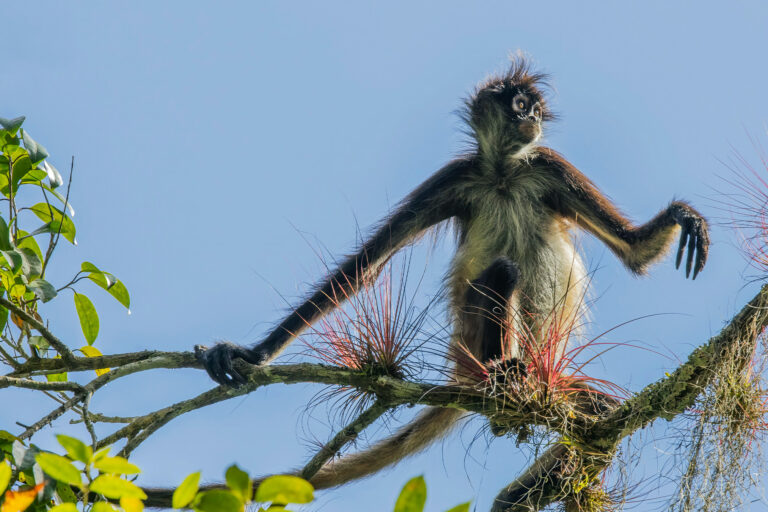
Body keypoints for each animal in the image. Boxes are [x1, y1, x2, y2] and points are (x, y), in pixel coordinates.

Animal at [192, 56, 708, 496]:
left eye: (536, 107)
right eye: (520, 104)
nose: (533, 115)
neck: (504, 174)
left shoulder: (548, 166)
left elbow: (635, 252)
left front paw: (682, 216)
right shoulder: (458, 177)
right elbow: (361, 269)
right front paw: (252, 352)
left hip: (556, 385)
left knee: (601, 416)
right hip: (476, 336)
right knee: (503, 272)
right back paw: (503, 377)